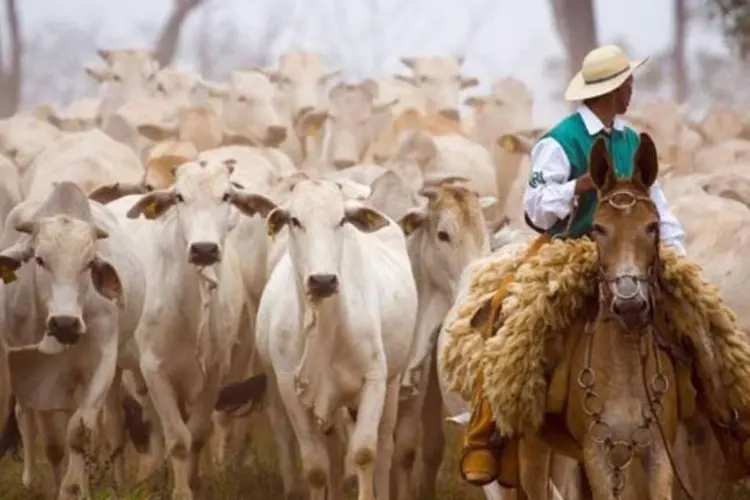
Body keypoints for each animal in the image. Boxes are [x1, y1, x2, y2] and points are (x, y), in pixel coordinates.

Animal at [0, 183, 145, 496]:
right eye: (39, 259)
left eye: (89, 263)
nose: (65, 324)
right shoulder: (33, 369)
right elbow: (53, 443)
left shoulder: (102, 362)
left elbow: (79, 432)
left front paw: (75, 489)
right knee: (24, 414)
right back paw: (30, 480)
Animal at [241, 180, 420, 500]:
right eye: (295, 221)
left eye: (341, 220)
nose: (323, 280)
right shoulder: (290, 390)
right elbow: (316, 466)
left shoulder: (374, 380)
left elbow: (364, 453)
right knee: (334, 448)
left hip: (393, 382)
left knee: (385, 446)